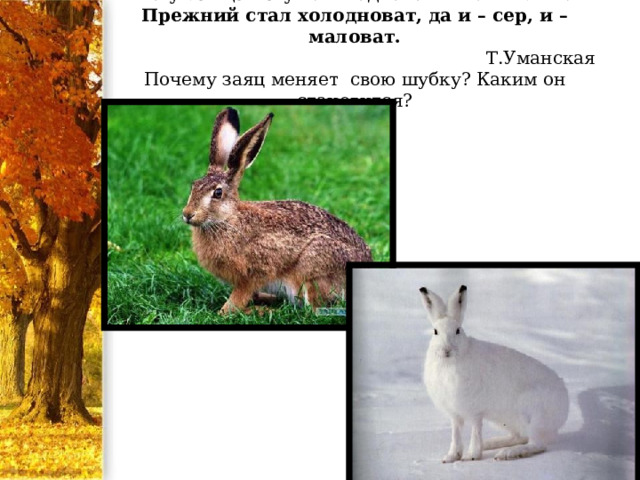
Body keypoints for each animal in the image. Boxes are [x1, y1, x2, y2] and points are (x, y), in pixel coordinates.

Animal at [182, 107, 372, 314]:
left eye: (217, 193)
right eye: (193, 186)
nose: (187, 214)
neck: (228, 220)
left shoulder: (253, 273)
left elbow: (236, 301)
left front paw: (225, 311)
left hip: (313, 269)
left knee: (313, 310)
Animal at [419, 285, 569, 462]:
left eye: (457, 331)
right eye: (435, 331)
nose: (446, 350)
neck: (449, 363)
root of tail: (564, 407)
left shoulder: (475, 410)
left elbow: (475, 430)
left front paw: (472, 456)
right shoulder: (454, 414)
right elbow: (455, 434)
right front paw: (450, 457)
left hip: (533, 414)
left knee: (536, 444)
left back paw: (508, 453)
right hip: (506, 419)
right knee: (519, 436)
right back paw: (492, 444)